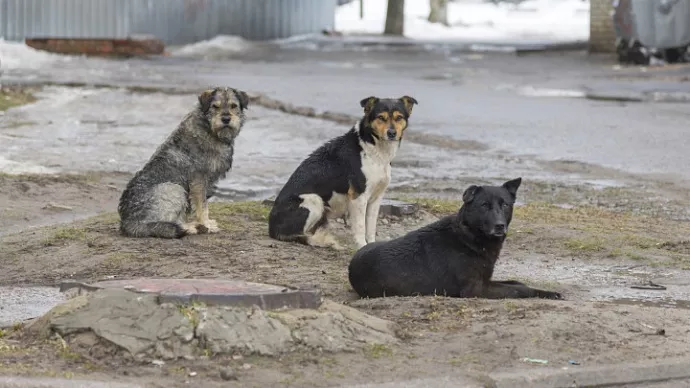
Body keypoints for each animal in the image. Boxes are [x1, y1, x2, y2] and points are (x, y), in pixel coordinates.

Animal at [117, 87, 249, 238]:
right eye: (215, 106)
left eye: (234, 106)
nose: (226, 119)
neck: (209, 129)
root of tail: (128, 223)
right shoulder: (198, 180)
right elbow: (202, 206)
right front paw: (206, 224)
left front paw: (206, 222)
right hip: (173, 188)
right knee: (161, 225)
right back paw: (190, 227)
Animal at [268, 95, 416, 250]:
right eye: (381, 117)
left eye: (399, 117)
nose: (391, 133)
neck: (373, 147)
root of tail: (271, 227)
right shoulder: (359, 197)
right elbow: (360, 227)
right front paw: (362, 246)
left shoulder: (376, 198)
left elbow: (370, 227)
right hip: (314, 200)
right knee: (298, 235)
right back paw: (319, 240)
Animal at [346, 179, 560, 300]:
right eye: (484, 205)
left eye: (505, 205)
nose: (500, 226)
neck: (468, 236)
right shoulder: (476, 289)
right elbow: (520, 290)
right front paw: (548, 294)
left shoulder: (486, 280)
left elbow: (517, 283)